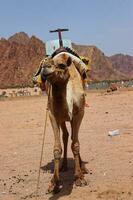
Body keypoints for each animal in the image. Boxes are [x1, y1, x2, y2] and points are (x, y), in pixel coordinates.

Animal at [40, 52, 88, 193]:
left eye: (61, 65)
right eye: (43, 63)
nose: (45, 67)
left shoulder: (79, 114)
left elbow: (76, 144)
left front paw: (79, 177)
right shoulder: (53, 115)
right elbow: (57, 148)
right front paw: (54, 183)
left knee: (73, 138)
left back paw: (83, 167)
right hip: (62, 119)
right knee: (66, 136)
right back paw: (64, 165)